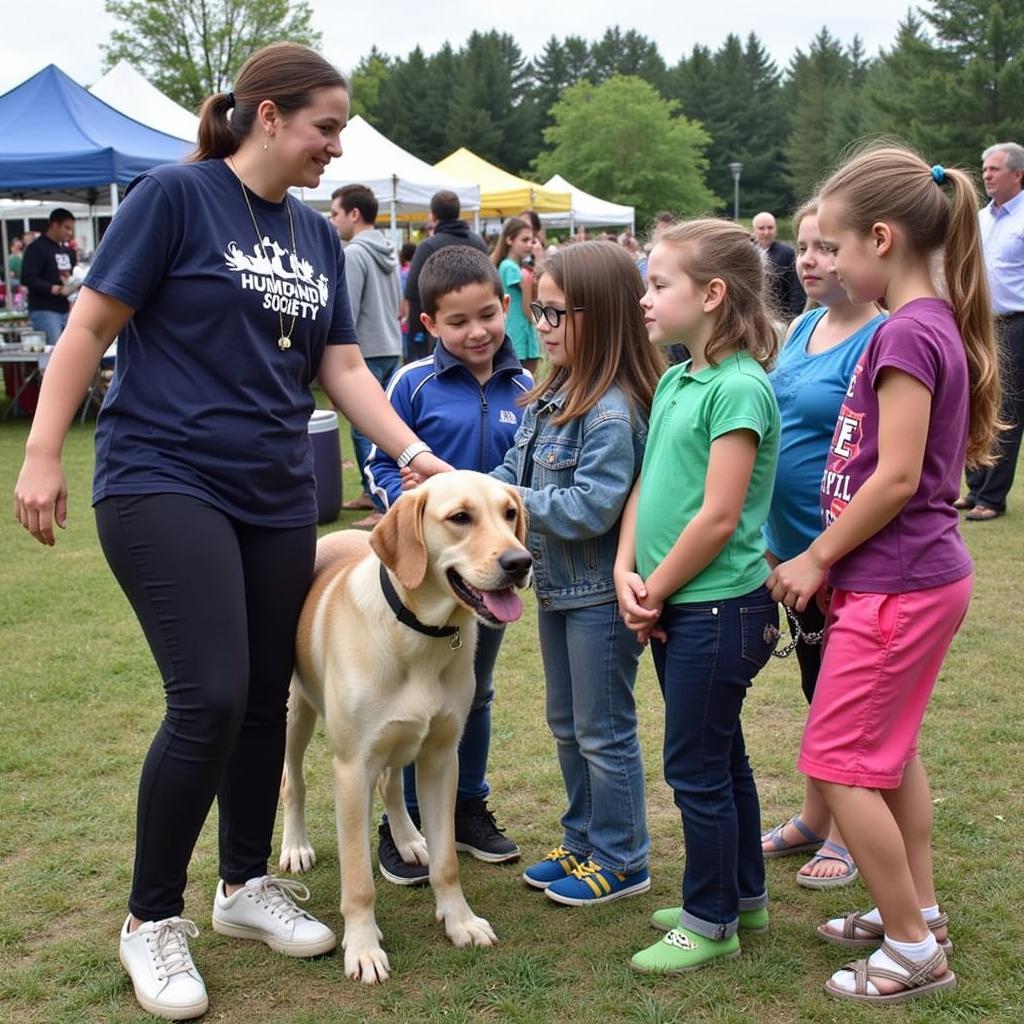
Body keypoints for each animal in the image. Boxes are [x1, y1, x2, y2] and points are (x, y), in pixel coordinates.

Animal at [280, 471, 536, 983]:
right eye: (460, 517)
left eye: (509, 513)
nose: (520, 562)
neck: (419, 633)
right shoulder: (351, 767)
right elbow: (358, 880)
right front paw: (362, 948)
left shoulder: (440, 757)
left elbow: (447, 863)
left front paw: (460, 922)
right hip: (298, 711)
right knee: (292, 780)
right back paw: (296, 846)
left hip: (400, 738)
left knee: (393, 786)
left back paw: (409, 839)